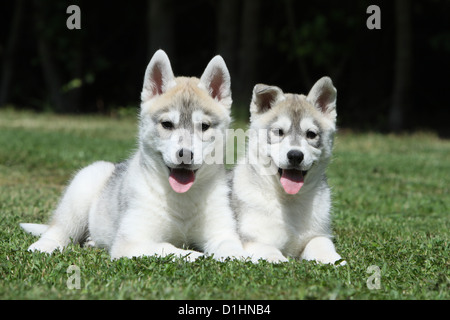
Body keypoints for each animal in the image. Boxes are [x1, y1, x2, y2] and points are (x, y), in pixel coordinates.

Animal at [21, 49, 248, 260]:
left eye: (204, 126)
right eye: (167, 124)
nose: (185, 154)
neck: (182, 200)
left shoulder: (222, 233)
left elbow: (232, 251)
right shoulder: (132, 241)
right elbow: (173, 249)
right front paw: (197, 255)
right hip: (83, 188)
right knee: (60, 229)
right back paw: (44, 245)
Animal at [232, 76, 344, 264]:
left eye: (311, 134)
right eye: (279, 132)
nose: (295, 155)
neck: (290, 201)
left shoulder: (318, 234)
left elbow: (321, 244)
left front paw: (332, 259)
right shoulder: (251, 240)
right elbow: (270, 253)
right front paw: (278, 260)